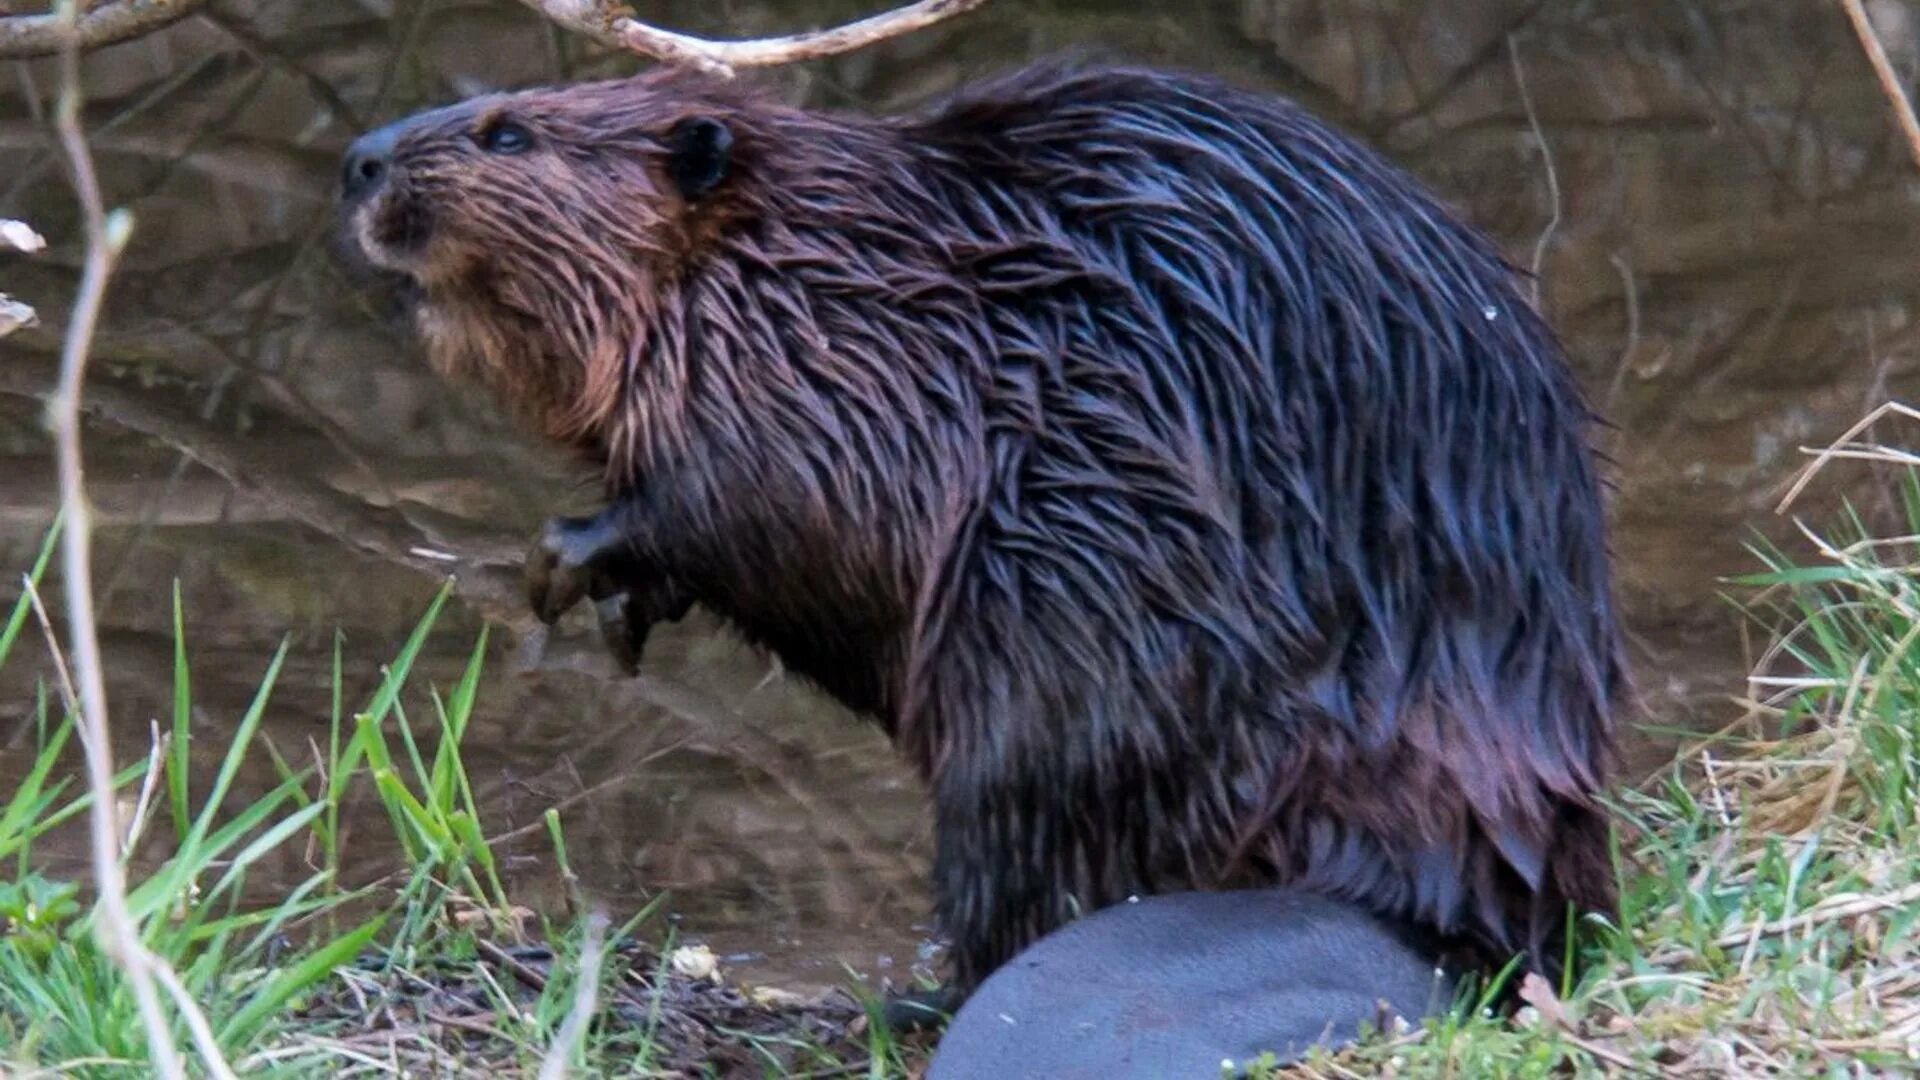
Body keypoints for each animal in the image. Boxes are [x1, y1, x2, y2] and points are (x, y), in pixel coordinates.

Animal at [334, 61, 1620, 1006]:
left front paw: (566, 560)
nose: (359, 160)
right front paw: (617, 603)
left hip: (1063, 669)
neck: (804, 253)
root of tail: (1404, 910)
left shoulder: (843, 371)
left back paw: (906, 1000)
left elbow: (775, 496)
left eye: (508, 134)